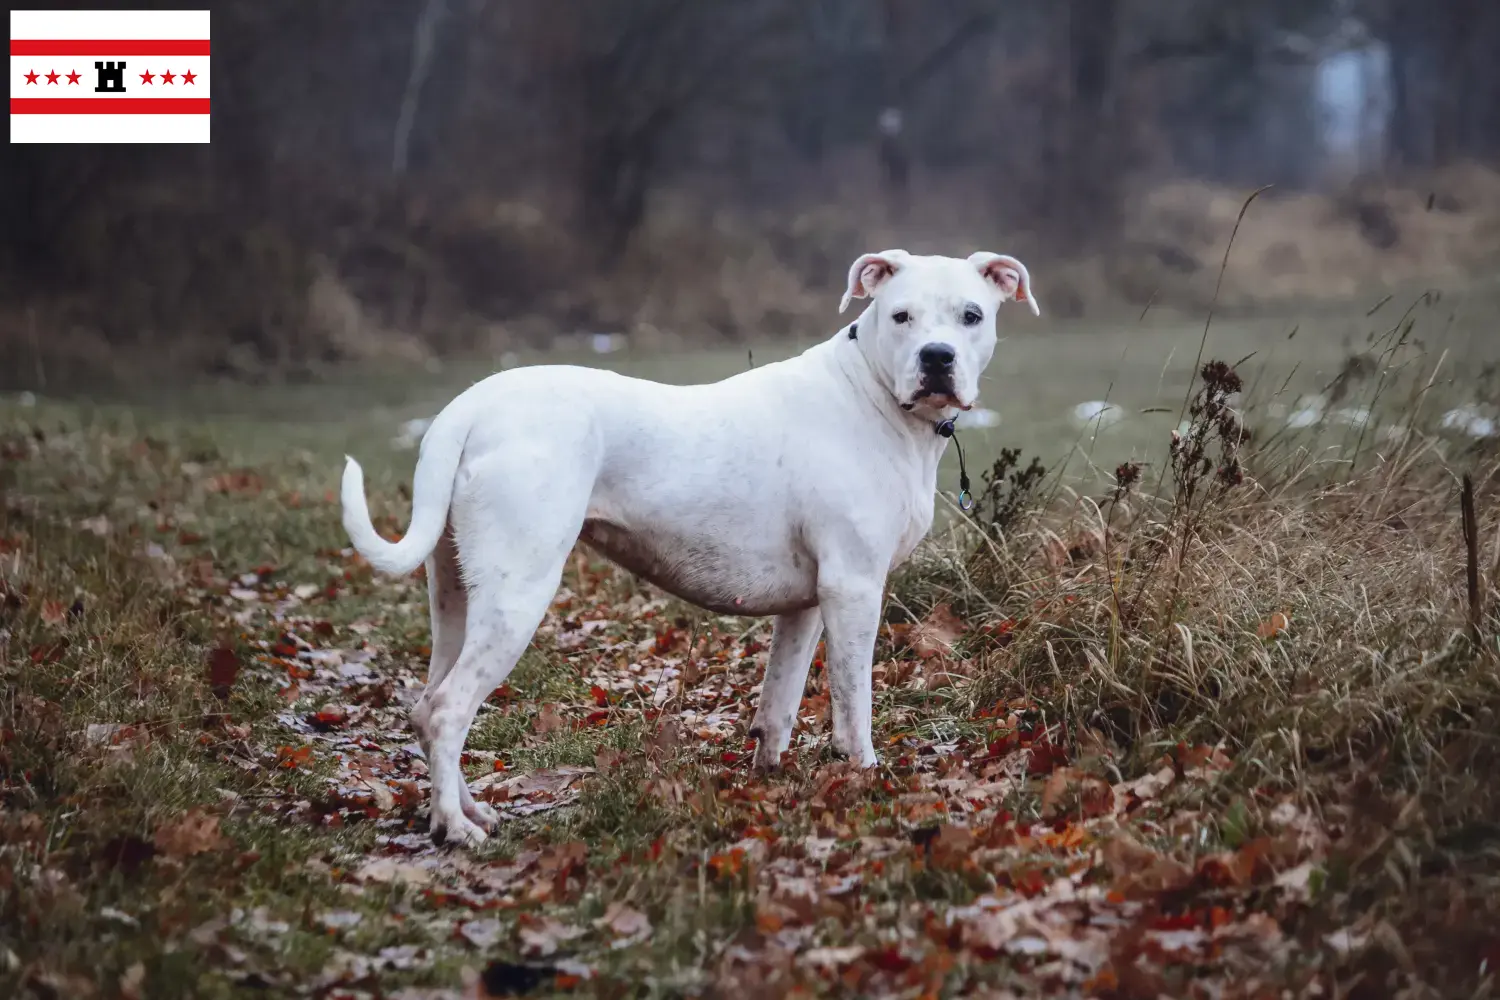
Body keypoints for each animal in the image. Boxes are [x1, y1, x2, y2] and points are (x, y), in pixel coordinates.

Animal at [343, 250, 1038, 845]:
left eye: (971, 316)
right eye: (901, 317)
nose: (937, 357)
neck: (873, 394)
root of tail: (469, 406)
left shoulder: (808, 604)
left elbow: (780, 702)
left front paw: (771, 778)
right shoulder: (855, 589)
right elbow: (852, 702)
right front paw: (863, 774)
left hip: (457, 596)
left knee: (429, 704)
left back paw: (467, 810)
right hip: (518, 593)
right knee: (447, 711)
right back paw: (453, 829)